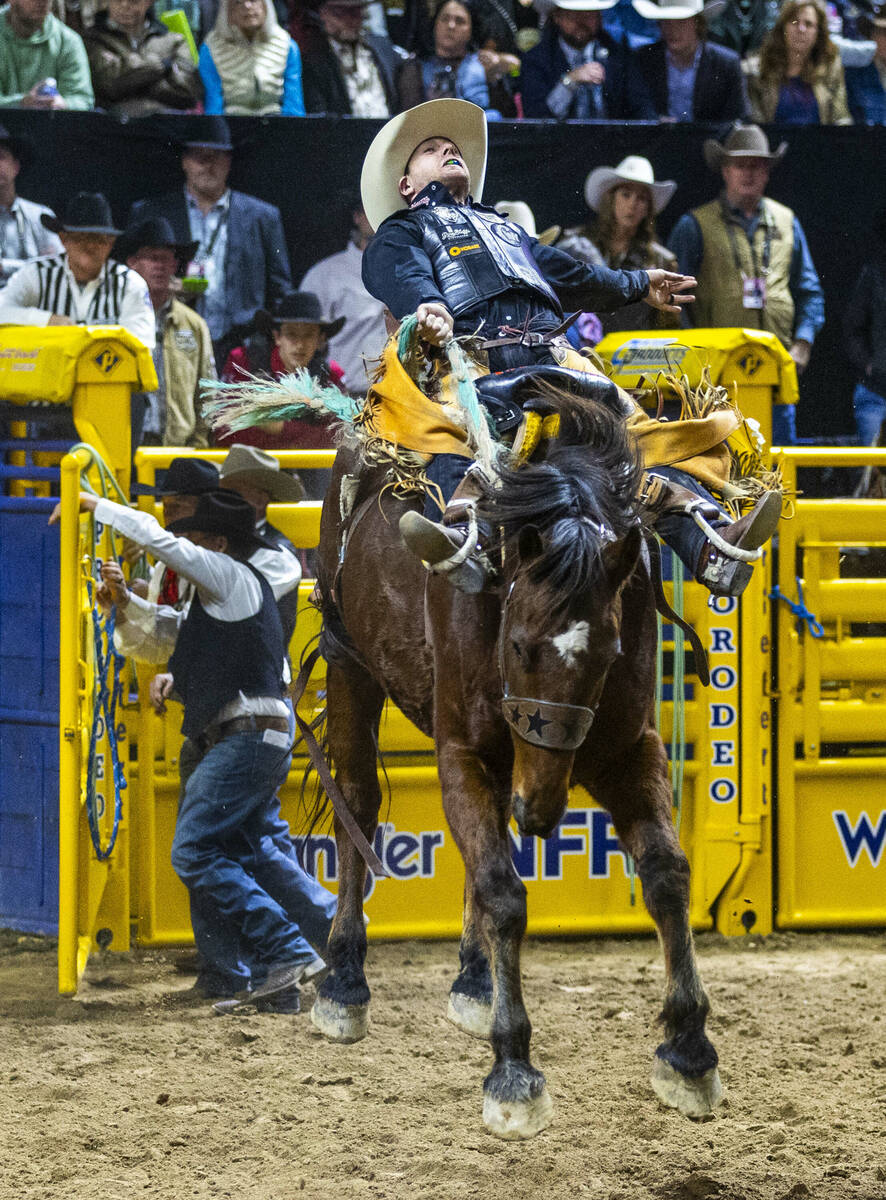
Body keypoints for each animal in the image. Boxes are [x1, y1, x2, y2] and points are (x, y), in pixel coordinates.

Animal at [307, 369, 720, 1137]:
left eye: (609, 652)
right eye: (522, 645)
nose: (543, 811)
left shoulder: (628, 750)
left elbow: (667, 874)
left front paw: (688, 1049)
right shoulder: (462, 752)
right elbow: (503, 890)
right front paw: (514, 1068)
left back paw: (475, 980)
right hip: (348, 660)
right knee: (358, 802)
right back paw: (343, 982)